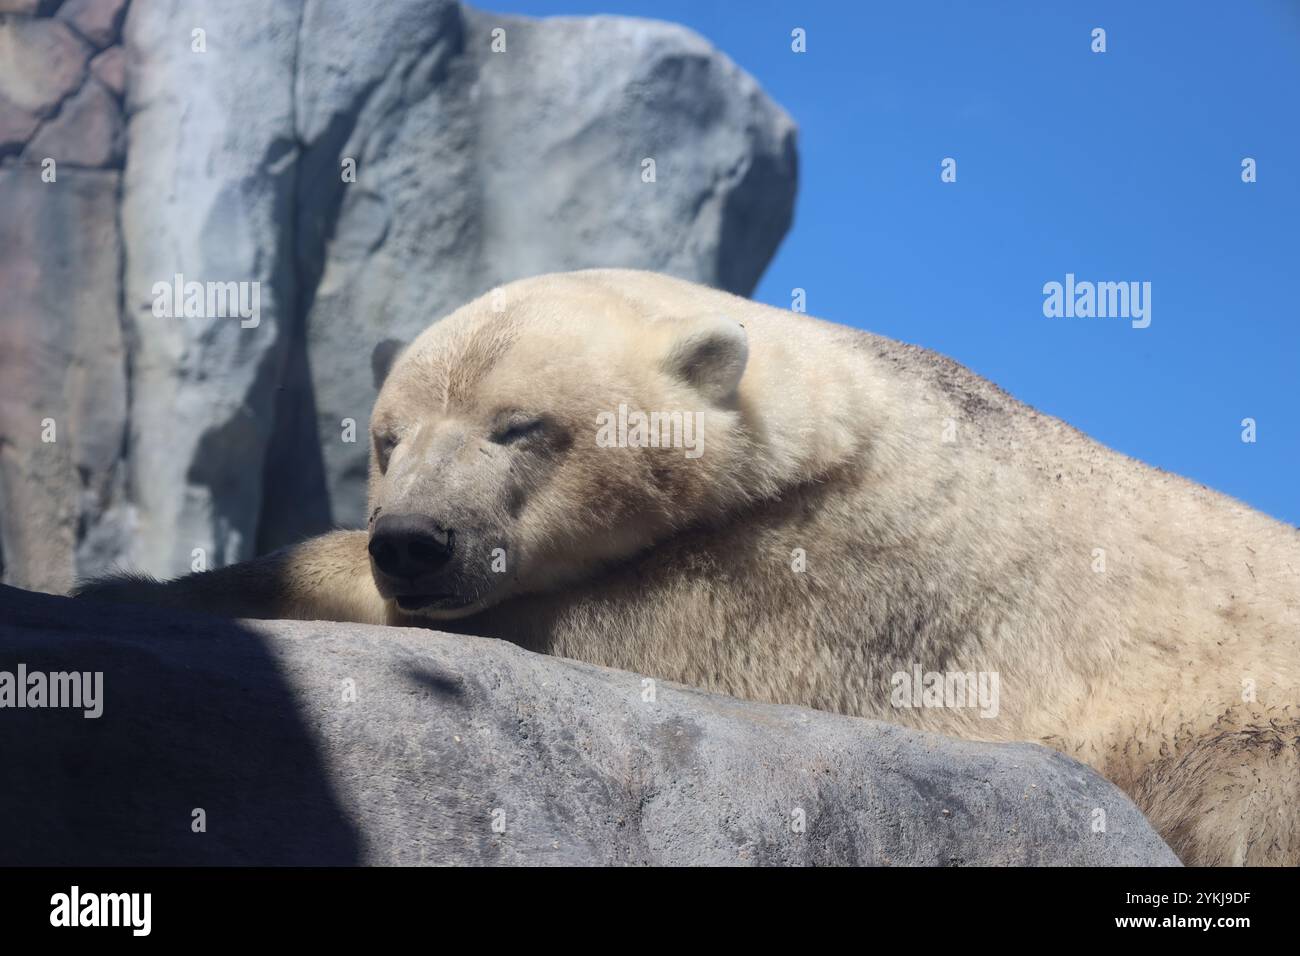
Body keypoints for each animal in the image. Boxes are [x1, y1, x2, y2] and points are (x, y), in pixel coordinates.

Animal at [81, 267, 1300, 868]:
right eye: (386, 437)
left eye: (519, 427)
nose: (413, 540)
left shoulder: (831, 566)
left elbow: (593, 630)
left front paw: (144, 585)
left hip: (1238, 723)